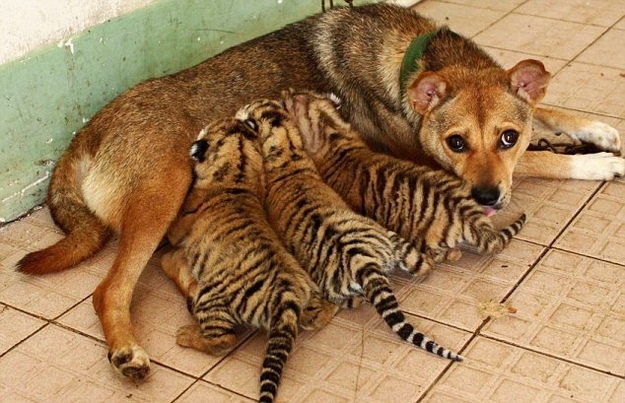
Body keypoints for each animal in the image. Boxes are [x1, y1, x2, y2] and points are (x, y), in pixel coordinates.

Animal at [15, 3, 624, 382]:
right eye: (455, 142)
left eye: (506, 136)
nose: (490, 197)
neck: (411, 59)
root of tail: (85, 135)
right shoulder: (434, 161)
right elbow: (546, 162)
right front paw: (597, 163)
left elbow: (547, 113)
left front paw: (597, 129)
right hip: (164, 193)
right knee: (110, 290)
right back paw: (128, 352)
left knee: (167, 264)